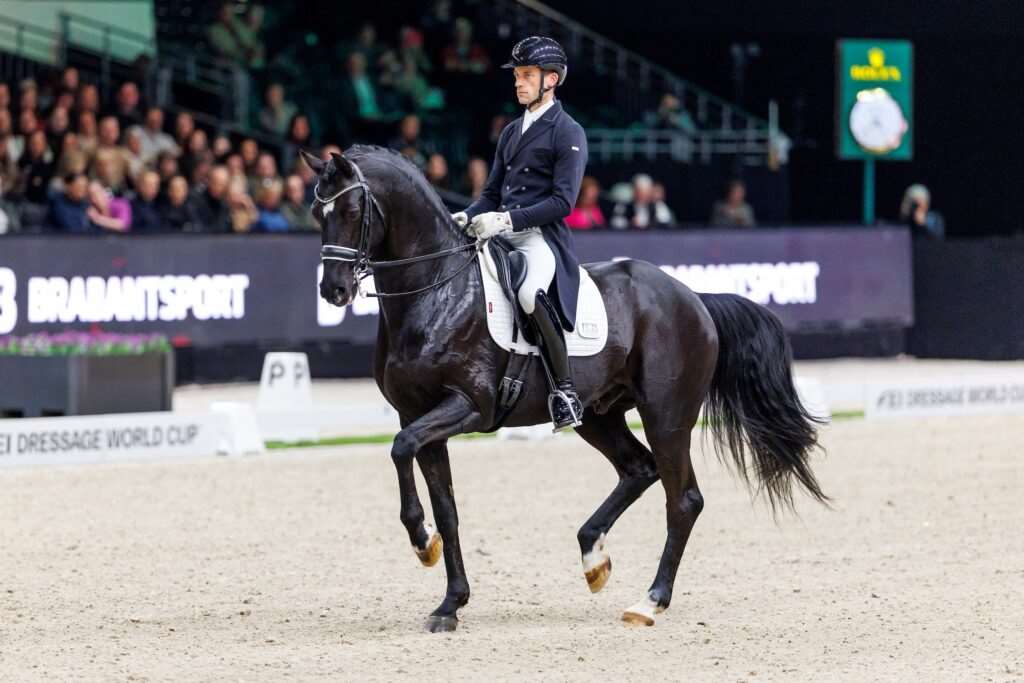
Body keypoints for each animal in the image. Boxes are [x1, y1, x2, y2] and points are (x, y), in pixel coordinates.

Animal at [301, 146, 827, 633]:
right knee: (638, 469)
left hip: (667, 415)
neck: (434, 291)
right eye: (316, 212)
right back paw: (594, 557)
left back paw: (649, 601)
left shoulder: (467, 406)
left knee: (683, 499)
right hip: (597, 414)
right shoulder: (419, 415)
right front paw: (449, 601)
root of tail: (691, 296)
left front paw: (420, 542)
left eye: (352, 211)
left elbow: (399, 448)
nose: (333, 292)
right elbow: (444, 505)